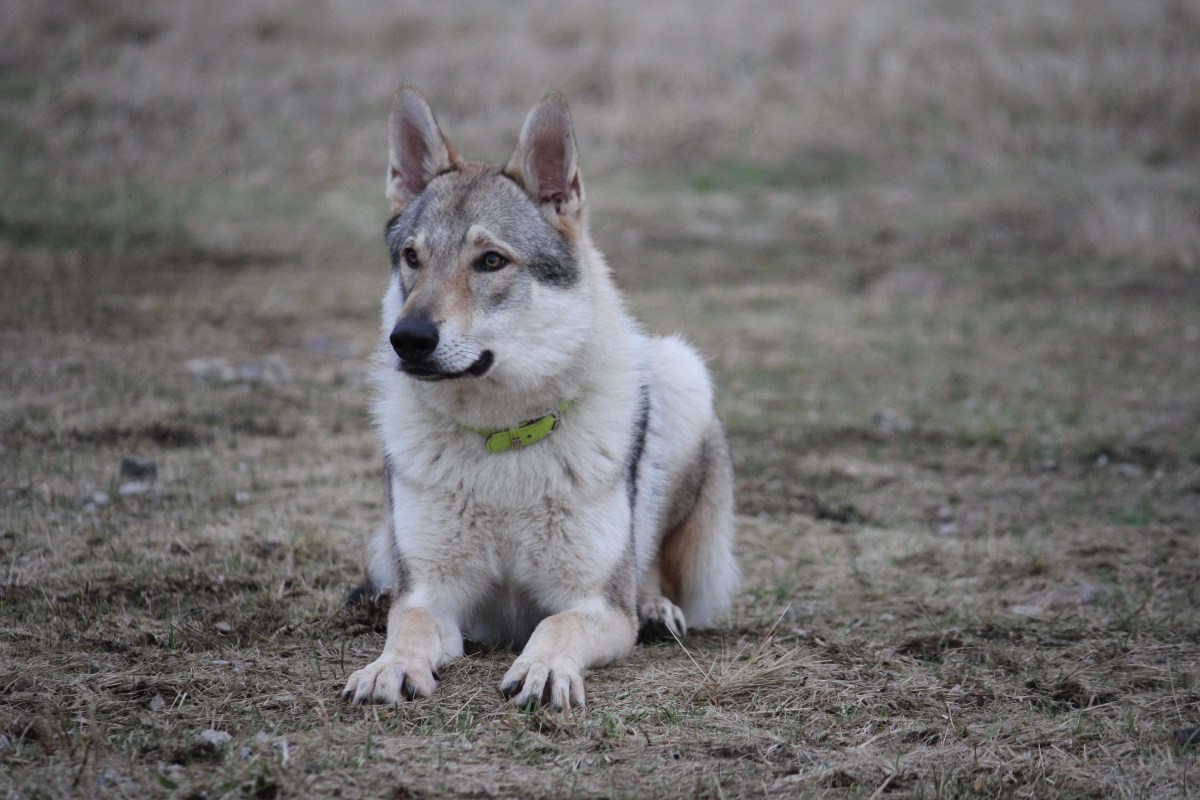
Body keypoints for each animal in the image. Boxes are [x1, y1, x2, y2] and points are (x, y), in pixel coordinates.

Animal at [340, 84, 739, 710]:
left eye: (491, 260)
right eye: (412, 258)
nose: (407, 339)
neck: (503, 437)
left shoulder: (597, 603)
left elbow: (558, 623)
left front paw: (545, 670)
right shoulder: (432, 592)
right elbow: (407, 626)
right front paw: (390, 668)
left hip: (681, 370)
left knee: (647, 561)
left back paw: (655, 608)